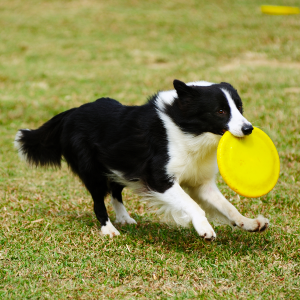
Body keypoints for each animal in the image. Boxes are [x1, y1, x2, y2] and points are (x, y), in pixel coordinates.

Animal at [14, 79, 270, 239]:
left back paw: (124, 218)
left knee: (115, 191)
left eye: (239, 107)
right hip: (92, 170)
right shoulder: (159, 179)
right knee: (98, 200)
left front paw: (248, 222)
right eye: (220, 111)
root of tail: (72, 112)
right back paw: (109, 230)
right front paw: (204, 228)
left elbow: (226, 206)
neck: (186, 128)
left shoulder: (201, 182)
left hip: (118, 163)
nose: (248, 129)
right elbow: (193, 205)